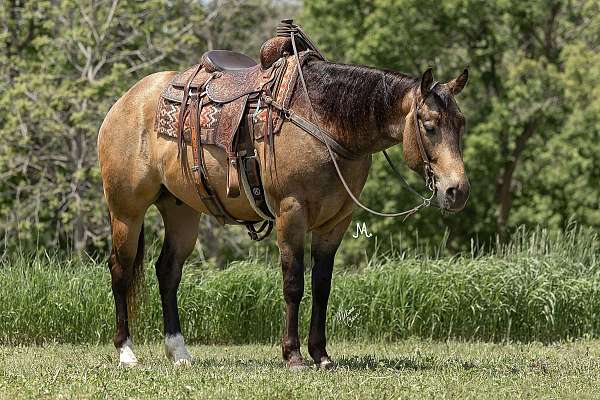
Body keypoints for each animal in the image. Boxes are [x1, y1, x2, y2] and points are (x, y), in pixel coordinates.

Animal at [97, 20, 468, 368]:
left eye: (461, 124)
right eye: (430, 126)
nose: (457, 190)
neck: (324, 121)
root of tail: (125, 102)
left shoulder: (335, 222)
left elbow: (322, 286)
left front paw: (321, 354)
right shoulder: (291, 214)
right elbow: (293, 284)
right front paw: (293, 355)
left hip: (181, 211)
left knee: (168, 271)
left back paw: (179, 352)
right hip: (126, 211)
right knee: (120, 269)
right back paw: (126, 351)